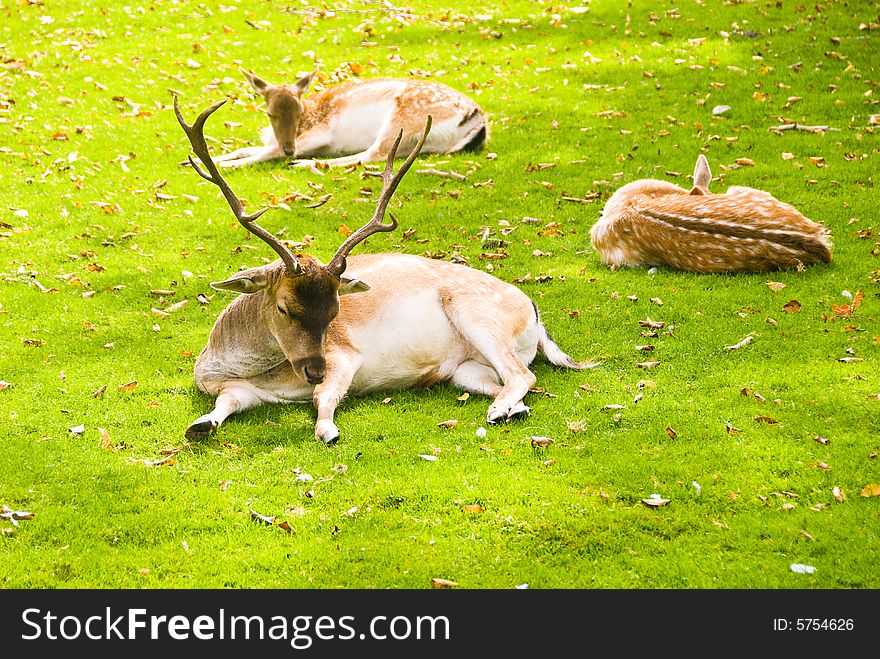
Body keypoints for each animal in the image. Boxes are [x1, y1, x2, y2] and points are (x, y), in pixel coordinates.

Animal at [172, 98, 592, 446]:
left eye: (335, 311)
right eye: (283, 308)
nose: (315, 370)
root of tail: (536, 315)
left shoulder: (344, 355)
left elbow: (325, 397)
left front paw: (328, 430)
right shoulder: (235, 388)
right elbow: (225, 403)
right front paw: (199, 425)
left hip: (478, 315)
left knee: (523, 374)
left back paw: (499, 411)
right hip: (466, 369)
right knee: (511, 382)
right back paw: (512, 409)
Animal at [211, 67, 492, 169]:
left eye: (299, 111)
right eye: (270, 113)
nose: (290, 149)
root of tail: (478, 119)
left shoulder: (322, 130)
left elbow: (266, 152)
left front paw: (223, 166)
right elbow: (246, 149)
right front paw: (208, 159)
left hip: (403, 118)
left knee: (373, 154)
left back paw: (305, 164)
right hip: (421, 141)